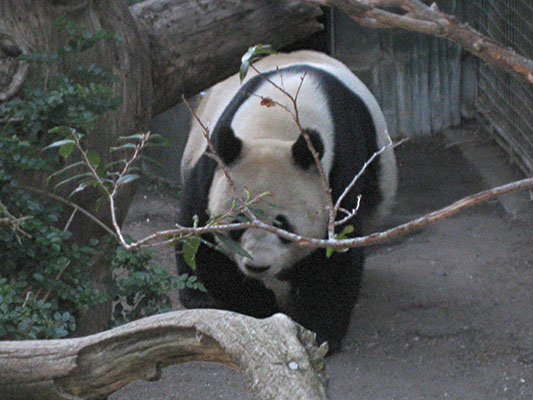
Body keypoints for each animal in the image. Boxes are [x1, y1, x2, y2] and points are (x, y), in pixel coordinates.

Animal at [177, 50, 396, 354]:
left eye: (283, 225)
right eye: (237, 224)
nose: (258, 267)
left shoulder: (340, 168)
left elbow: (335, 252)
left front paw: (319, 330)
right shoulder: (214, 166)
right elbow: (201, 240)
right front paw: (258, 306)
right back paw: (197, 297)